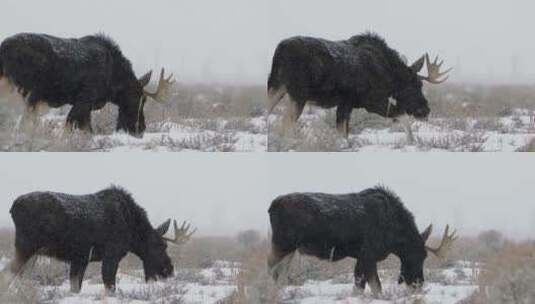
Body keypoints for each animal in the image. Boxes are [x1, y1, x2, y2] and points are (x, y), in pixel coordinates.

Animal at [0, 33, 174, 137]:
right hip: (27, 91)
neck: (113, 81)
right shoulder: (84, 99)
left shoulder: (87, 106)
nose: (140, 128)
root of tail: (3, 48)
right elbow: (74, 126)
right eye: (140, 99)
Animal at [4, 185, 197, 292]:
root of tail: (13, 208)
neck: (132, 232)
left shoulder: (80, 259)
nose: (169, 270)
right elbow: (110, 285)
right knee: (7, 273)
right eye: (161, 245)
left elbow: (76, 286)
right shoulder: (111, 255)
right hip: (26, 246)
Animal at [268, 31, 452, 138]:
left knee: (268, 114)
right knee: (286, 123)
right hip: (298, 94)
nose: (425, 110)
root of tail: (280, 50)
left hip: (275, 87)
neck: (388, 73)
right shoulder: (366, 101)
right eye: (415, 84)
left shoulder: (352, 103)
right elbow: (403, 117)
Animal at [270, 185, 458, 294]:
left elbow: (359, 287)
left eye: (425, 256)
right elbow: (376, 288)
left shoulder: (362, 257)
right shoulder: (368, 255)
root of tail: (271, 206)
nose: (418, 284)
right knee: (271, 269)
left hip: (290, 249)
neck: (395, 236)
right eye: (417, 255)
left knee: (280, 274)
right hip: (282, 244)